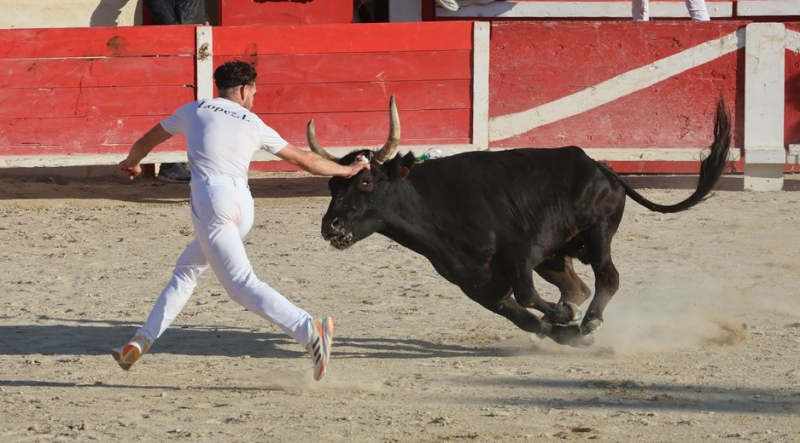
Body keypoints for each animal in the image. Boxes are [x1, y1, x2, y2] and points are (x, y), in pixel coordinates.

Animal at [308, 96, 732, 346]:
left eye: (365, 181)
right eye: (331, 183)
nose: (331, 227)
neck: (437, 211)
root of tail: (602, 168)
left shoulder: (519, 251)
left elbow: (528, 297)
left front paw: (568, 321)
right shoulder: (478, 286)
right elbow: (527, 319)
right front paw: (564, 332)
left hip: (596, 233)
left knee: (607, 278)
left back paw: (590, 320)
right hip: (555, 256)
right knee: (577, 286)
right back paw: (579, 322)